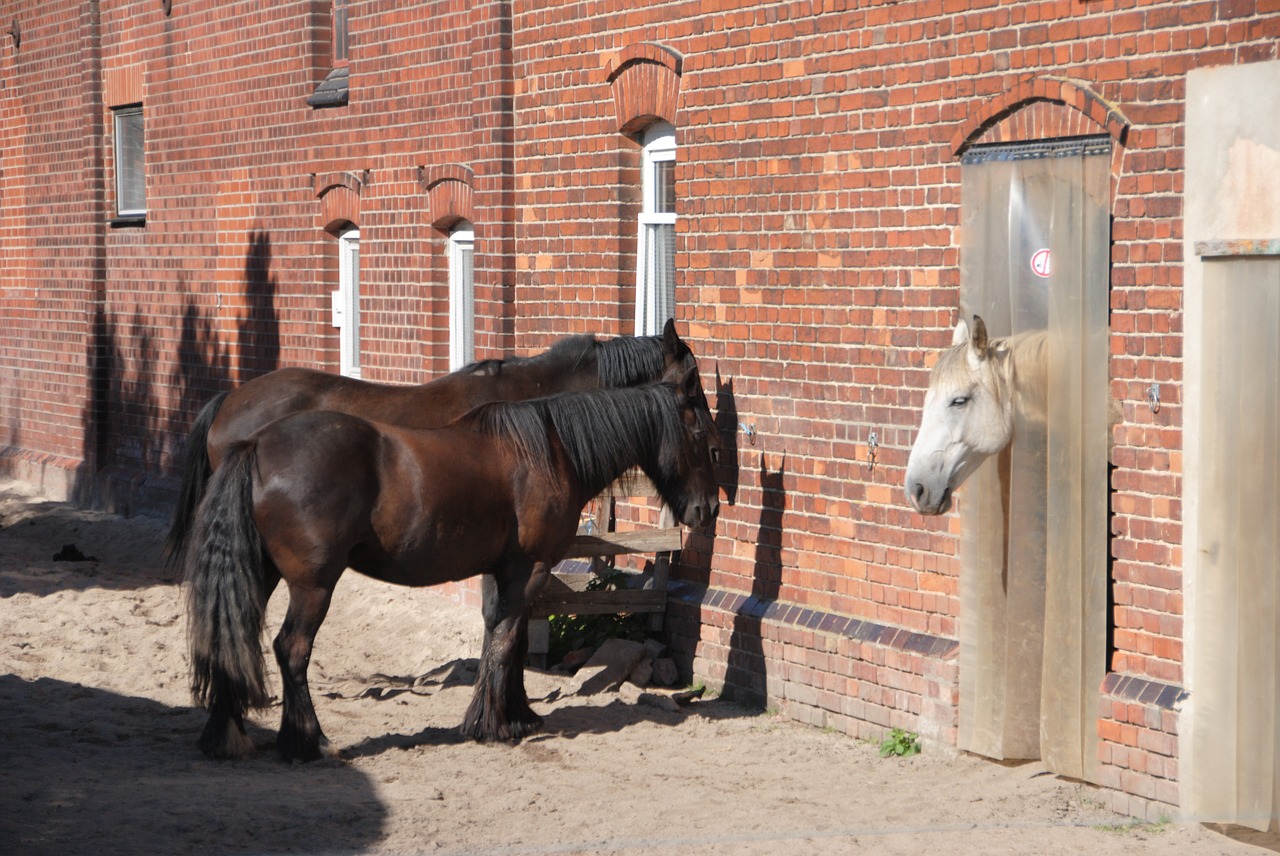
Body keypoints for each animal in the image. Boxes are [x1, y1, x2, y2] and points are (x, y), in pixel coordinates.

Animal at [183, 368, 721, 762]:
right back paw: (311, 741)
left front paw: (515, 714)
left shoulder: (502, 570)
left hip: (262, 573)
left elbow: (501, 636)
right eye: (703, 434)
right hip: (313, 585)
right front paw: (494, 725)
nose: (708, 510)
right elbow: (506, 640)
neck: (551, 449)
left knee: (231, 635)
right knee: (291, 650)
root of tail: (257, 446)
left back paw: (227, 736)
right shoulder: (529, 569)